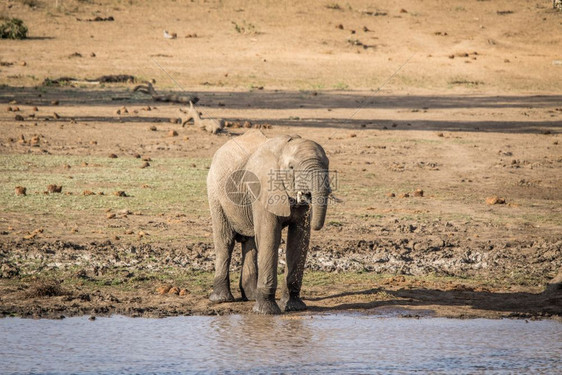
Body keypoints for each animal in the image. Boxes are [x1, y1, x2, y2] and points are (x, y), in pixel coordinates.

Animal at [205, 130, 328, 314]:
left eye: (327, 165)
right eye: (291, 168)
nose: (308, 195)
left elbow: (298, 240)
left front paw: (294, 307)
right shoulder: (262, 189)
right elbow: (270, 238)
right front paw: (266, 312)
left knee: (250, 243)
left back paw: (250, 296)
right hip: (215, 193)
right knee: (225, 241)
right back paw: (222, 299)